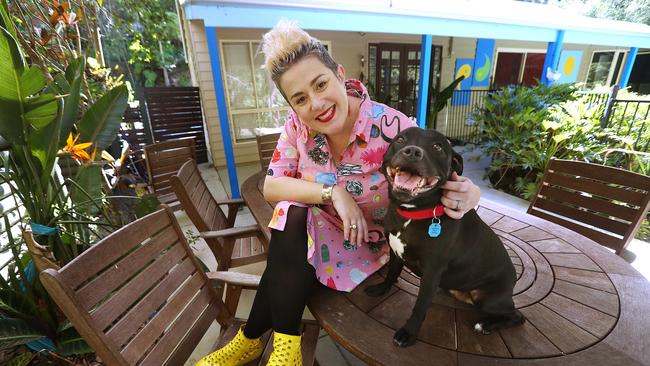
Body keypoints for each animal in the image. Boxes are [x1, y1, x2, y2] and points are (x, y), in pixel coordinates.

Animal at [364, 127, 520, 348]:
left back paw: (486, 325)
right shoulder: (395, 253)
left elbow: (420, 306)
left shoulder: (432, 272)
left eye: (438, 147)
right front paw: (381, 288)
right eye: (400, 139)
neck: (411, 214)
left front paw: (408, 333)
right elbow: (391, 274)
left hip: (487, 298)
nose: (413, 152)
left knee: (516, 317)